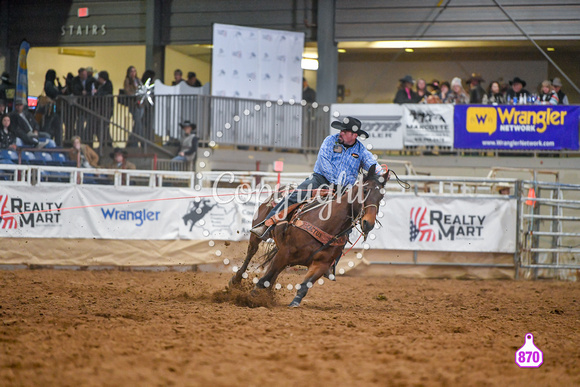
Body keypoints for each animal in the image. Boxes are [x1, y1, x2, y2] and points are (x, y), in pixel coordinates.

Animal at [229, 165, 388, 308]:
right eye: (365, 190)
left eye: (381, 196)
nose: (368, 223)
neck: (326, 223)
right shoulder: (285, 253)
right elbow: (265, 278)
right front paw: (251, 298)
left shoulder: (321, 264)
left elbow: (305, 285)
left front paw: (293, 303)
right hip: (258, 235)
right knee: (251, 252)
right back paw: (235, 280)